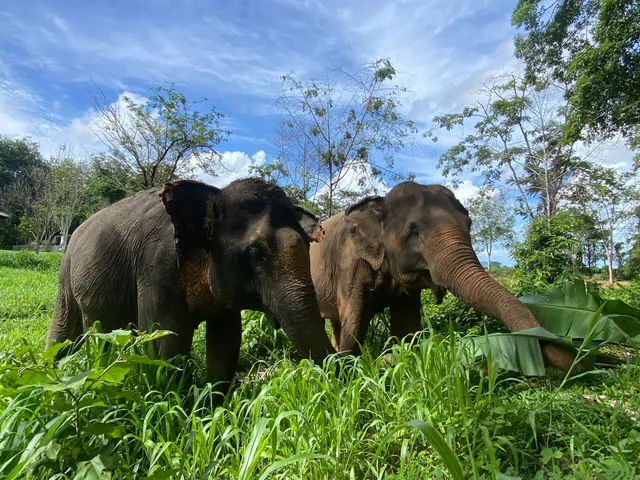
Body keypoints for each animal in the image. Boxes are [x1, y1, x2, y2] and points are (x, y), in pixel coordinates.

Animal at [46, 178, 336, 392]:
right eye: (255, 252)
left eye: (308, 244)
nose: (342, 365)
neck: (213, 194)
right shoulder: (157, 268)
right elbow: (165, 342)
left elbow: (226, 342)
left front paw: (212, 407)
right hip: (66, 274)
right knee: (73, 331)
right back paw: (53, 370)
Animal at [309, 181, 583, 374]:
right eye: (414, 231)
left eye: (469, 224)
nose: (577, 348)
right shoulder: (349, 263)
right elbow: (354, 321)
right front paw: (344, 371)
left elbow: (407, 328)